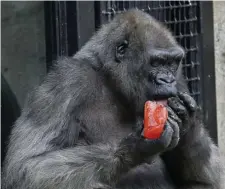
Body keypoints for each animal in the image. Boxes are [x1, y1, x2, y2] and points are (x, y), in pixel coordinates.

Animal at [1, 8, 222, 189]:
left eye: (172, 63)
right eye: (157, 62)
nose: (167, 80)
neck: (111, 80)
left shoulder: (181, 81)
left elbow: (209, 180)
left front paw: (189, 123)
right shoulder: (66, 80)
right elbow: (27, 167)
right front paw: (132, 148)